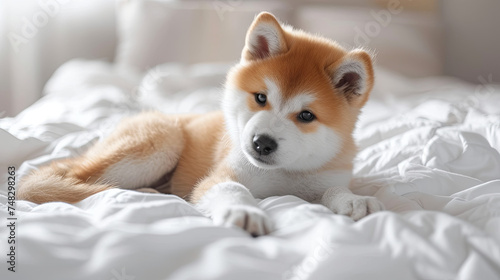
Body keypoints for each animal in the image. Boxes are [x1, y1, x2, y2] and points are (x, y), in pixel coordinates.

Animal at [18, 13, 382, 236]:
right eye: (261, 97)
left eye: (306, 115)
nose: (262, 143)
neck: (283, 175)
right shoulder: (220, 177)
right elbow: (232, 189)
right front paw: (246, 212)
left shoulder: (324, 178)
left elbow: (334, 190)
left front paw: (353, 200)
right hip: (161, 142)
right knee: (76, 181)